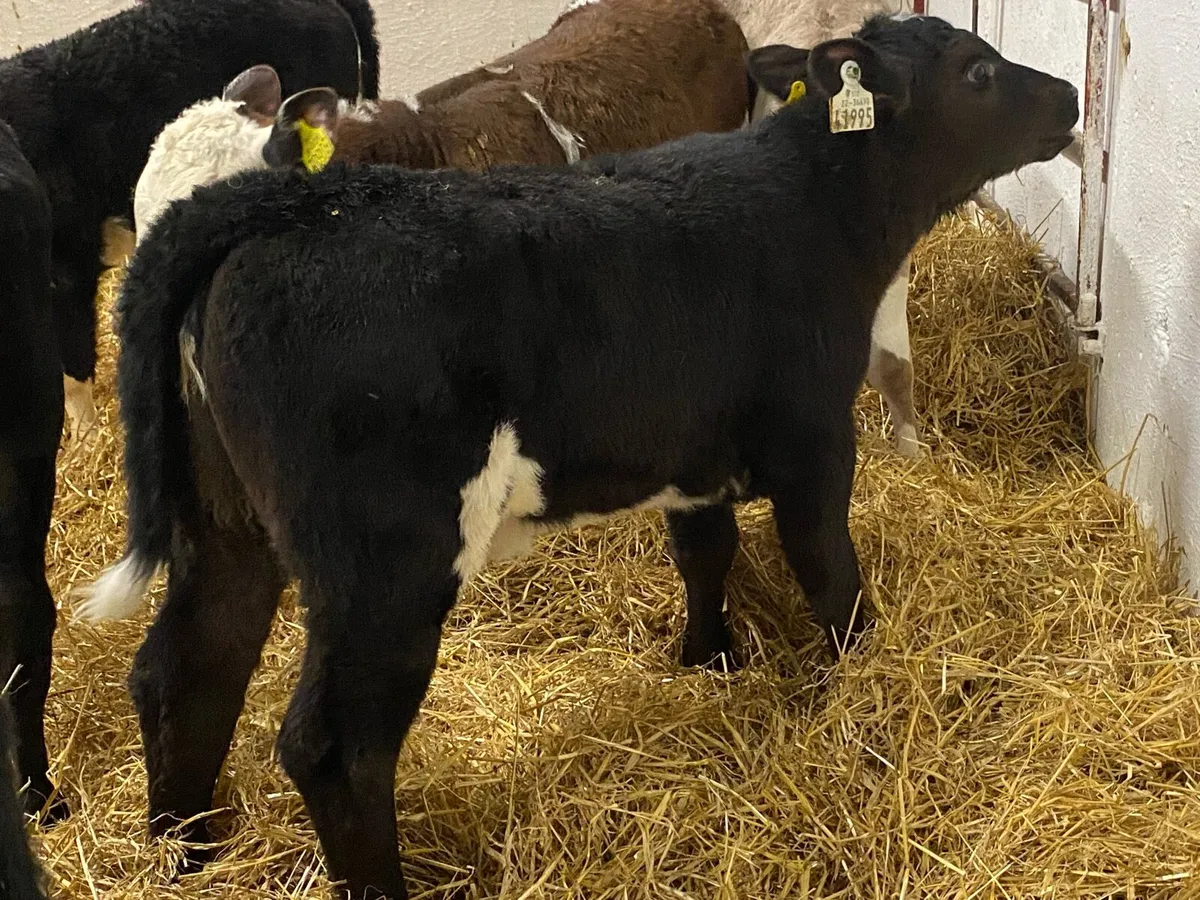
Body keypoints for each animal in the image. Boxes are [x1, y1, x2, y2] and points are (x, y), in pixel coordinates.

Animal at [79, 14, 1078, 899]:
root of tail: (278, 205)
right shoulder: (814, 442)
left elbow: (705, 552)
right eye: (979, 71)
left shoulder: (691, 447)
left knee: (186, 668)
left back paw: (183, 854)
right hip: (383, 562)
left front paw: (709, 661)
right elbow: (829, 576)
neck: (808, 210)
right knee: (332, 743)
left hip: (228, 523)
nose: (1070, 96)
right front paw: (859, 683)